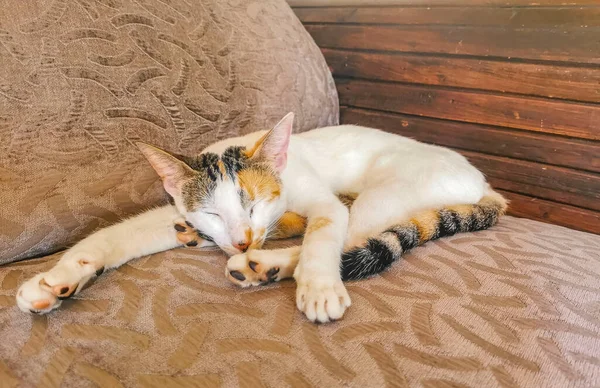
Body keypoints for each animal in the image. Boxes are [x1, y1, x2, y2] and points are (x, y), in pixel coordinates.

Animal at [15, 113, 506, 324]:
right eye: (213, 211)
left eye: (253, 204)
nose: (244, 239)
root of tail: (483, 182)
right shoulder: (184, 214)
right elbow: (117, 233)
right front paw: (55, 279)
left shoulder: (322, 202)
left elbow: (325, 232)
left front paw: (319, 286)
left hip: (389, 191)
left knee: (352, 235)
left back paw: (266, 266)